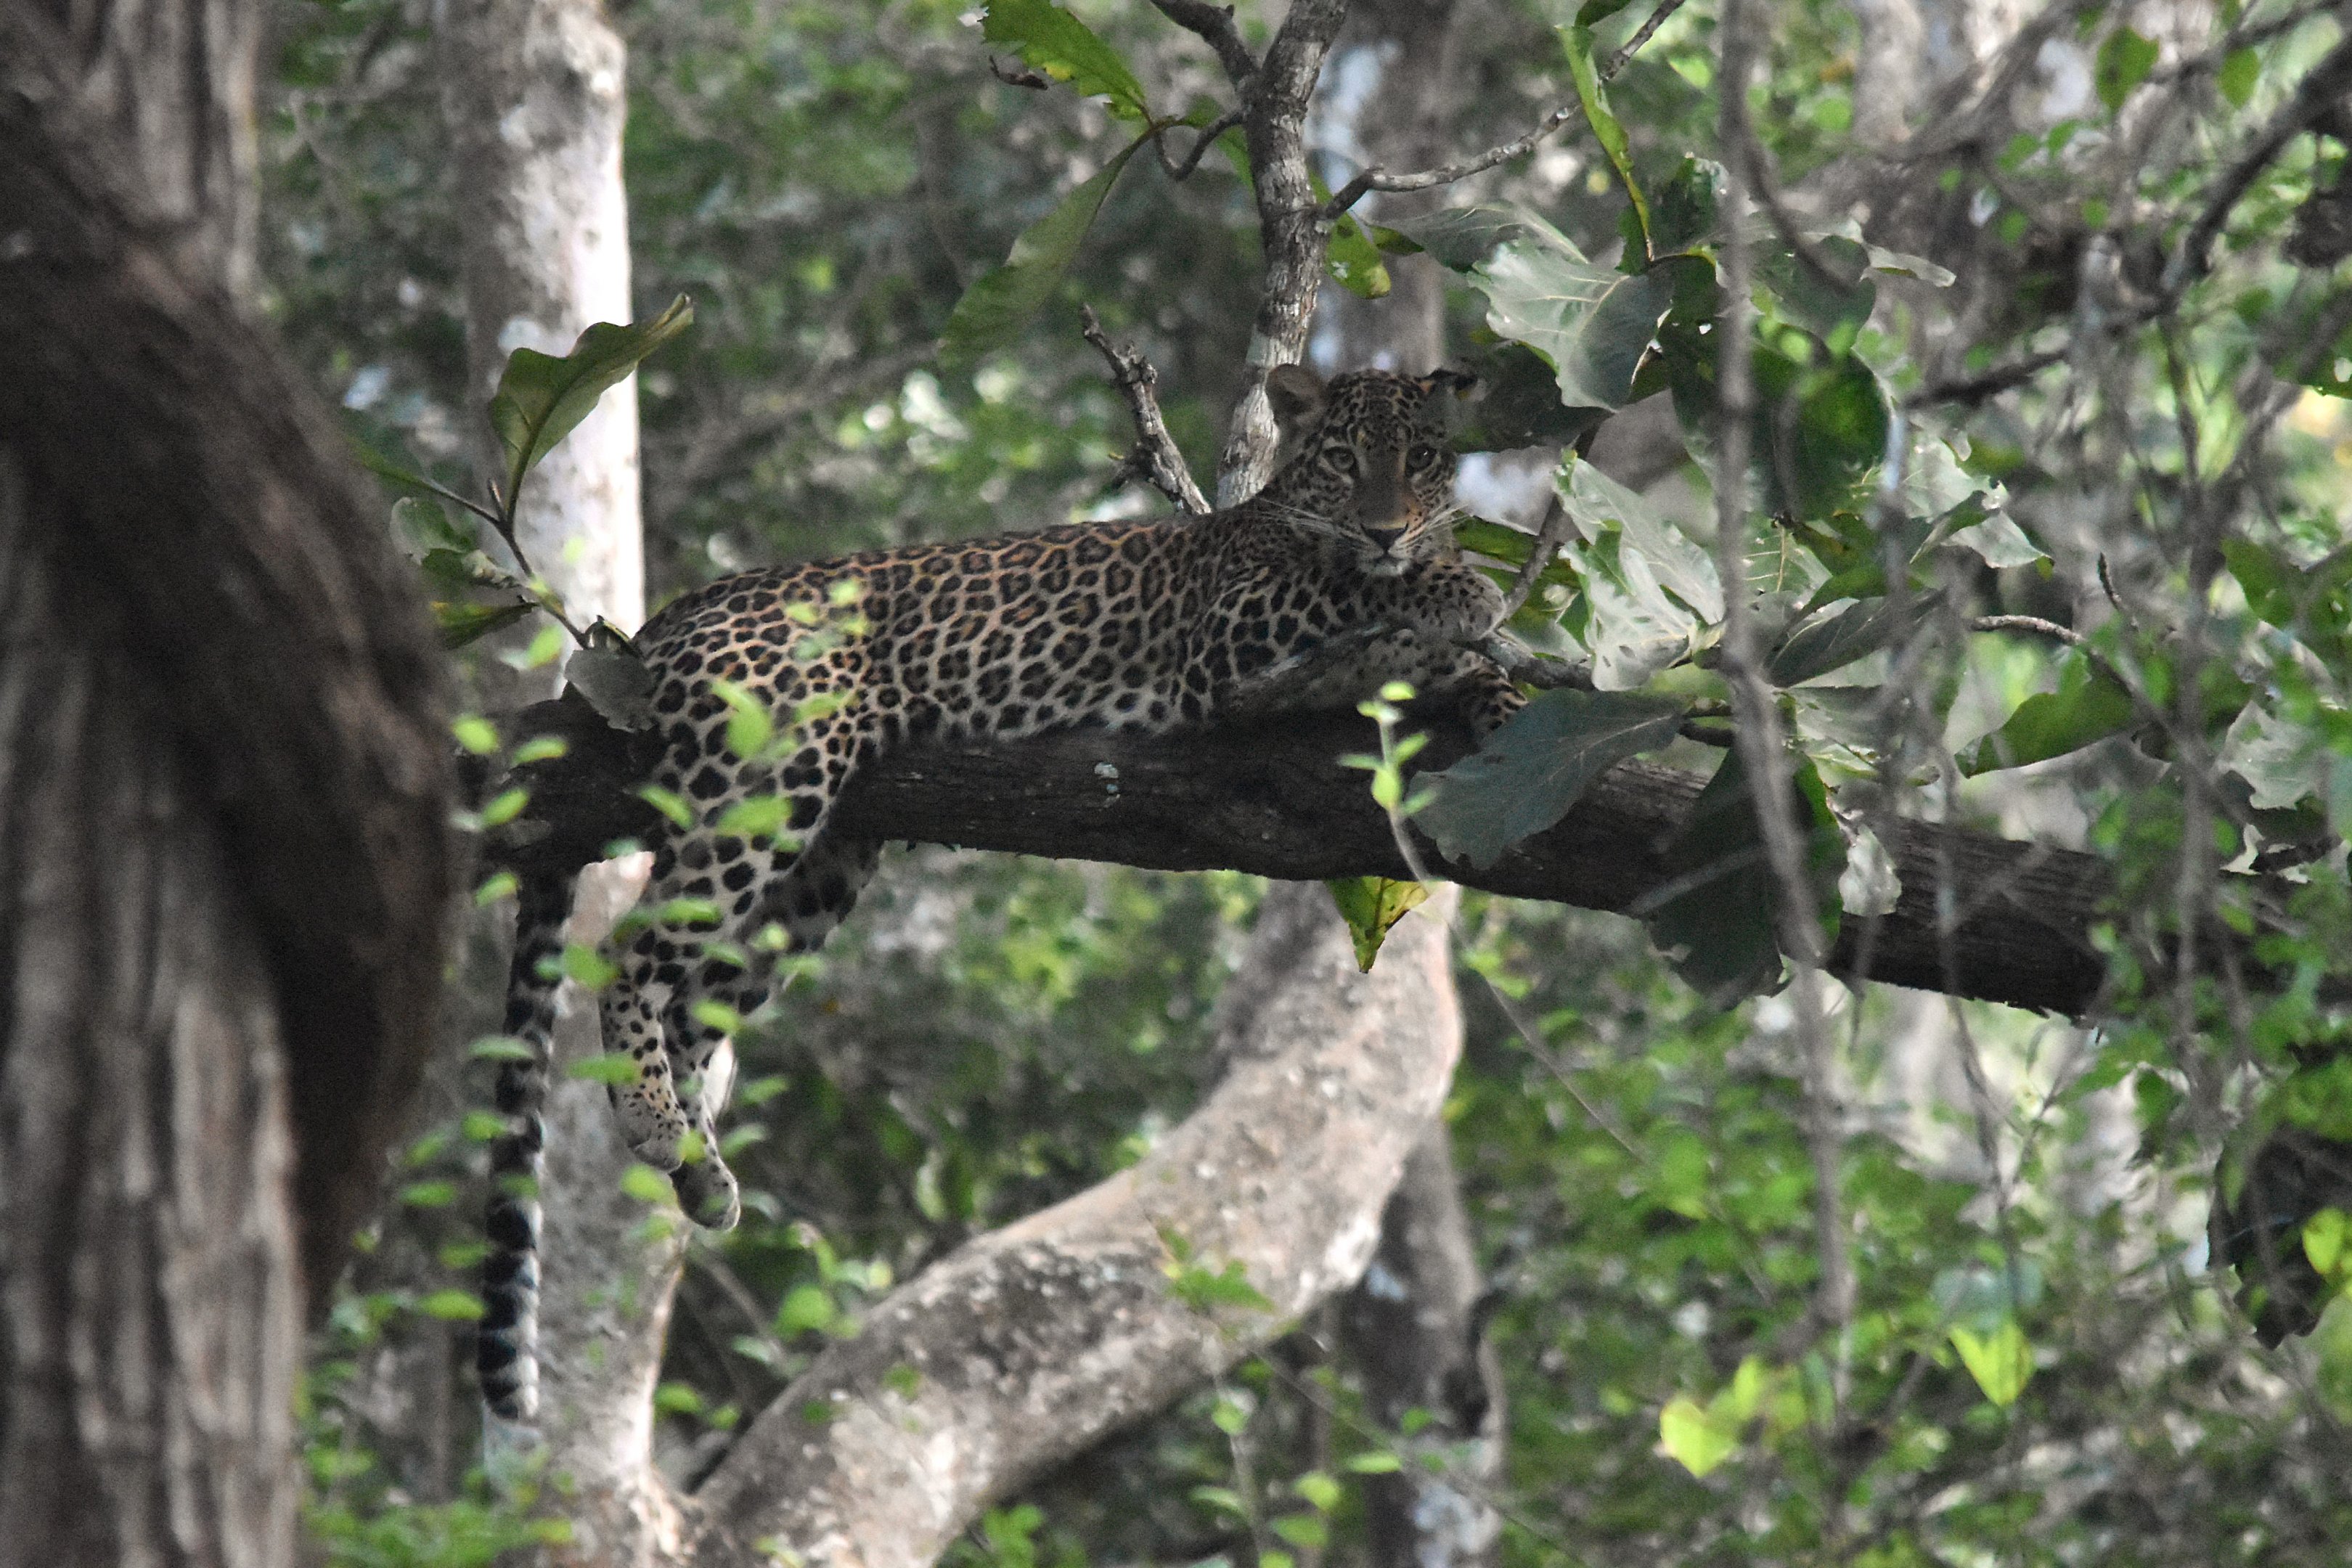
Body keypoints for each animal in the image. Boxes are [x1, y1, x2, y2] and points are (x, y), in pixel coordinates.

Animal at [477, 364, 1527, 1424]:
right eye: (1347, 460)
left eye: (1423, 459)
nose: (1390, 528)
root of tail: (673, 614)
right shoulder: (1234, 631)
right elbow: (1348, 592)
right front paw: (1460, 591)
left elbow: (1448, 664)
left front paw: (1497, 692)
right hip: (774, 772)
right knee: (632, 952)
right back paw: (654, 1123)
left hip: (826, 858)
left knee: (695, 1004)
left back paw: (703, 1174)